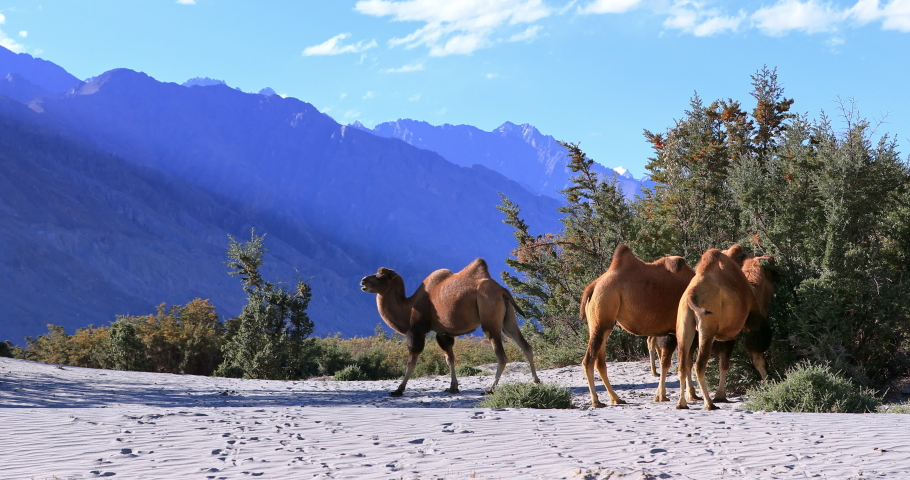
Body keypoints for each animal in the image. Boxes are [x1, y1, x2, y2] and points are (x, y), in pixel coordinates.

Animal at [360, 258, 540, 397]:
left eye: (380, 277)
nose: (363, 281)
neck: (409, 307)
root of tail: (502, 290)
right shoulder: (443, 332)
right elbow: (450, 358)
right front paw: (453, 387)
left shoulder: (417, 329)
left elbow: (412, 360)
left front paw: (398, 390)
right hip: (508, 319)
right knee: (525, 345)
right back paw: (536, 381)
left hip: (489, 318)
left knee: (501, 356)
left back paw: (489, 389)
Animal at [579, 244, 696, 407]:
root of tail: (593, 286)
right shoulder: (675, 330)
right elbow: (671, 362)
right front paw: (664, 396)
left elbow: (683, 361)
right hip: (603, 315)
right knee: (588, 360)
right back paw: (596, 401)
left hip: (599, 325)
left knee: (600, 362)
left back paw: (616, 399)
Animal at [675, 245, 775, 410]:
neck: (753, 289)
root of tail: (690, 294)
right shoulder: (744, 327)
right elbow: (753, 358)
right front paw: (769, 383)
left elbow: (723, 363)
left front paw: (721, 396)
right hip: (707, 330)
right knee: (699, 365)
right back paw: (709, 404)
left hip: (684, 327)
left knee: (683, 364)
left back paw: (682, 403)